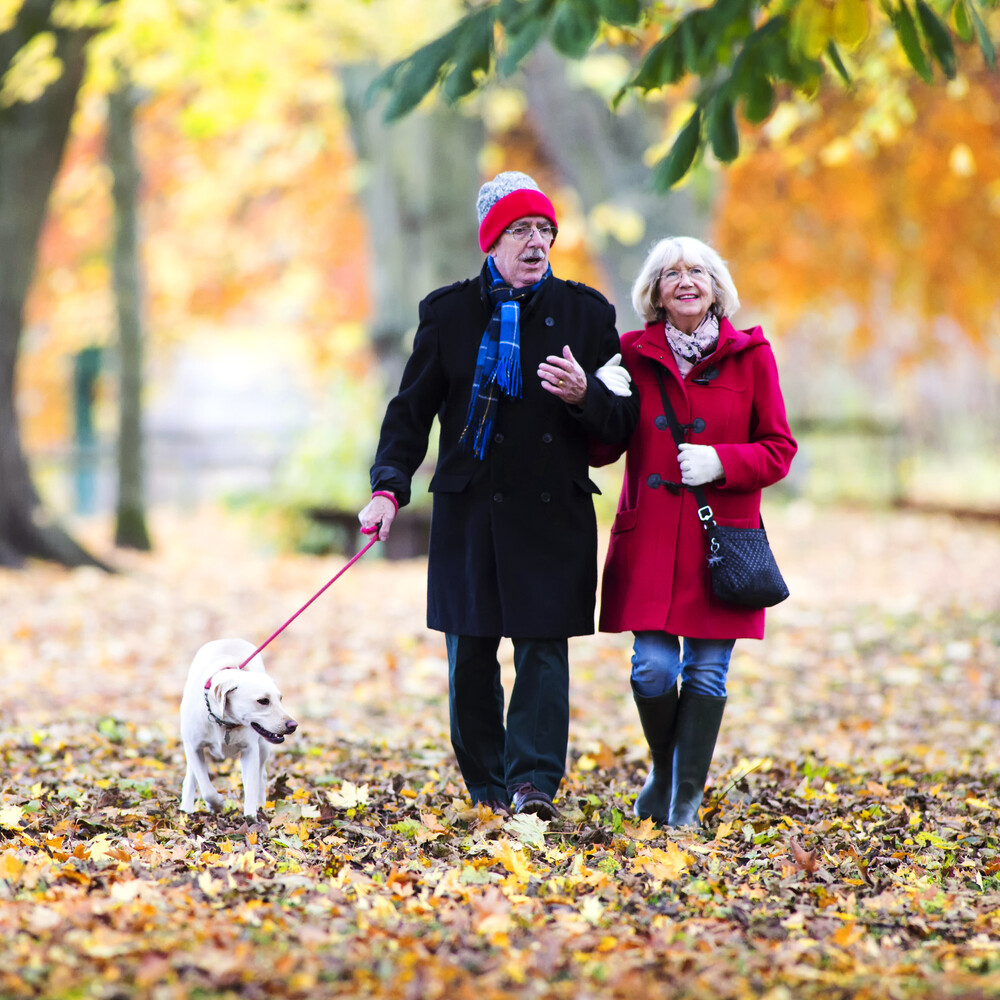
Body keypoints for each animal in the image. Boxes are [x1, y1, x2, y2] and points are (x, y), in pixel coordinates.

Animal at [181, 640, 296, 820]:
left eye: (280, 698)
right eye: (263, 700)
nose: (293, 725)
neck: (224, 724)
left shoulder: (251, 751)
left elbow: (251, 786)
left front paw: (251, 817)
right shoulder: (193, 748)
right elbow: (206, 788)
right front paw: (217, 804)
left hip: (263, 747)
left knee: (261, 776)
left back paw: (262, 805)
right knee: (191, 778)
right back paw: (185, 809)